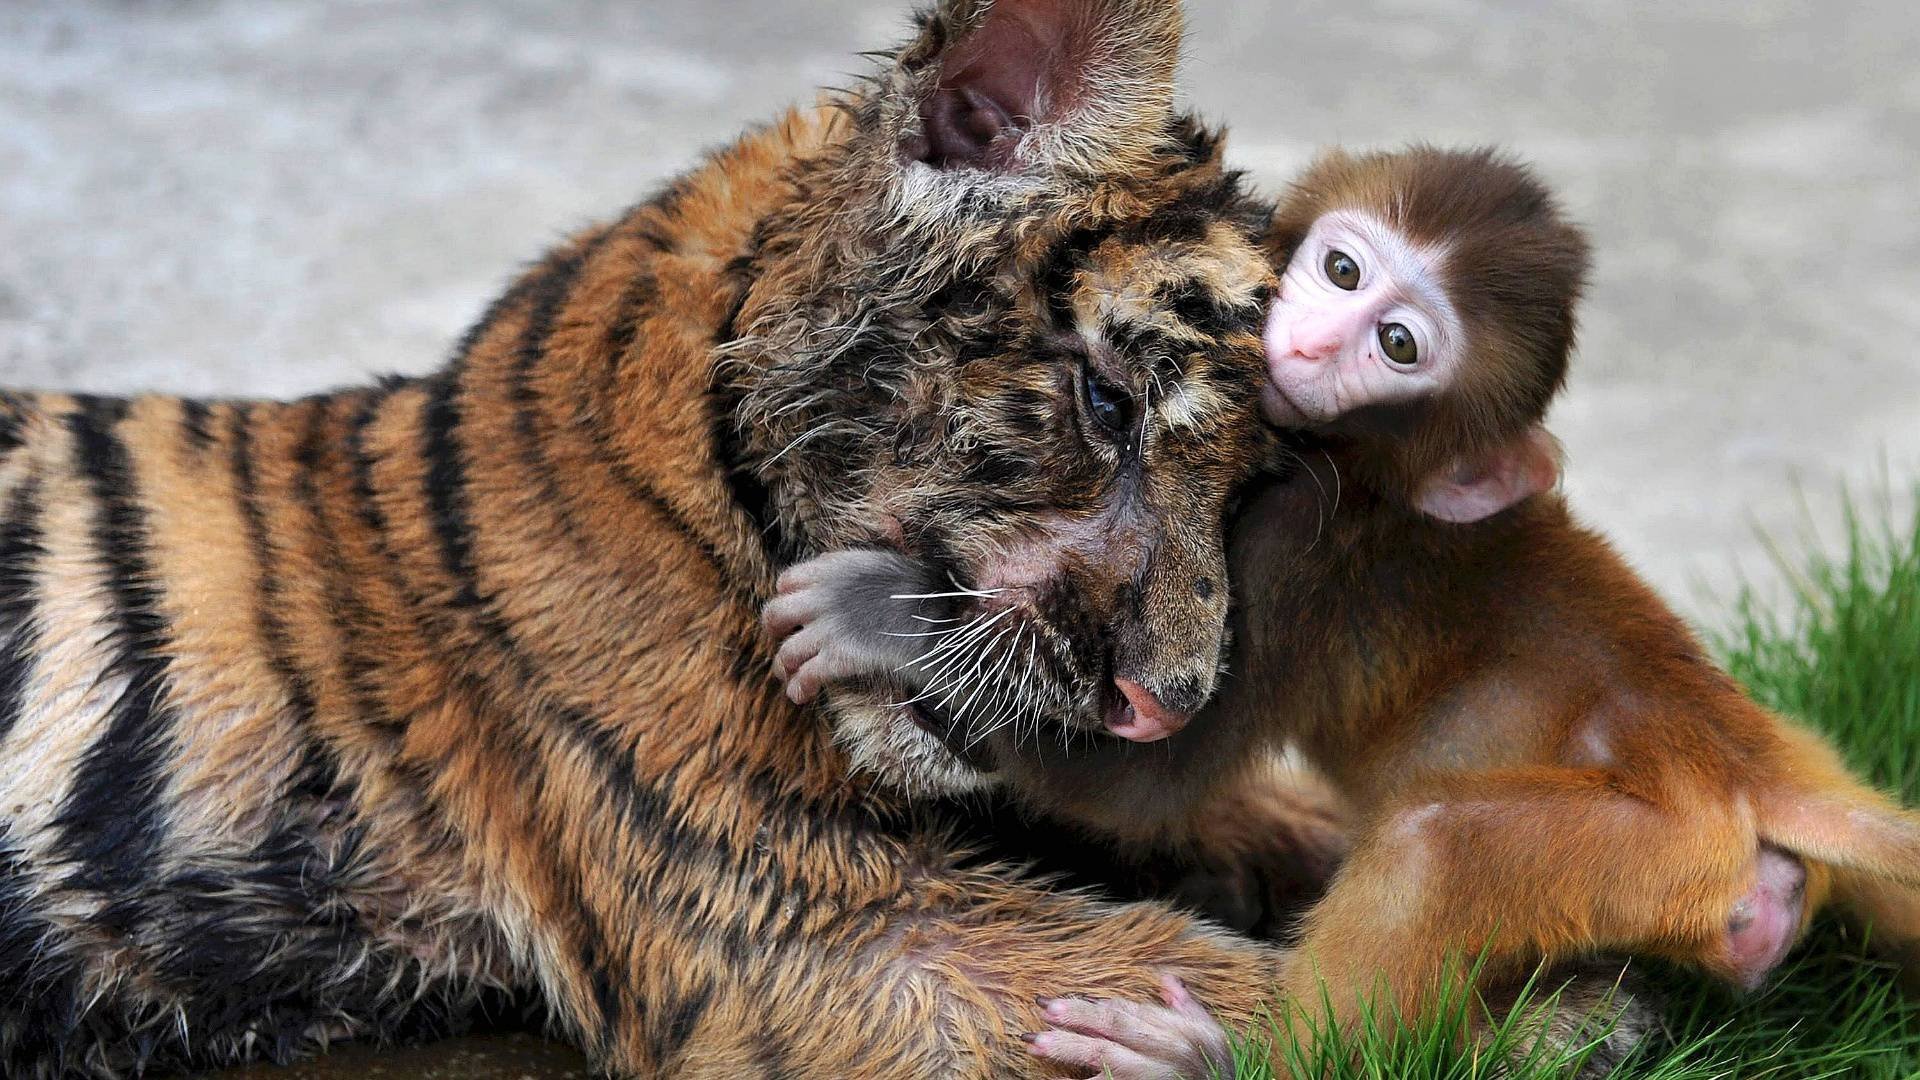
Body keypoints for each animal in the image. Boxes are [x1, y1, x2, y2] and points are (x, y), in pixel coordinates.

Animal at [764, 146, 1920, 1077]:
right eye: (1344, 270)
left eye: (1398, 346)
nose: (1317, 344)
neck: (1364, 475)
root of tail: (1746, 756)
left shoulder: (1291, 547)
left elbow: (1145, 778)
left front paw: (890, 617)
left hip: (1654, 852)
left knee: (1434, 847)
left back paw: (1233, 1062)